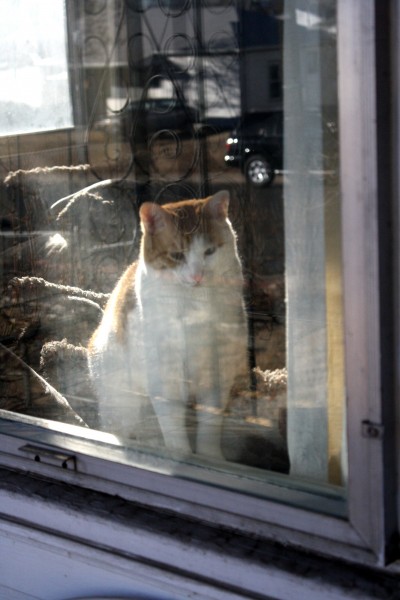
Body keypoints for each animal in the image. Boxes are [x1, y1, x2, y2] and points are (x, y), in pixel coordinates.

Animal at [89, 190, 248, 458]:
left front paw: (210, 457)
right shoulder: (164, 371)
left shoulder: (218, 367)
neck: (193, 304)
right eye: (177, 256)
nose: (197, 276)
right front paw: (179, 455)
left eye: (209, 251)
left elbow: (210, 420)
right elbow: (172, 418)